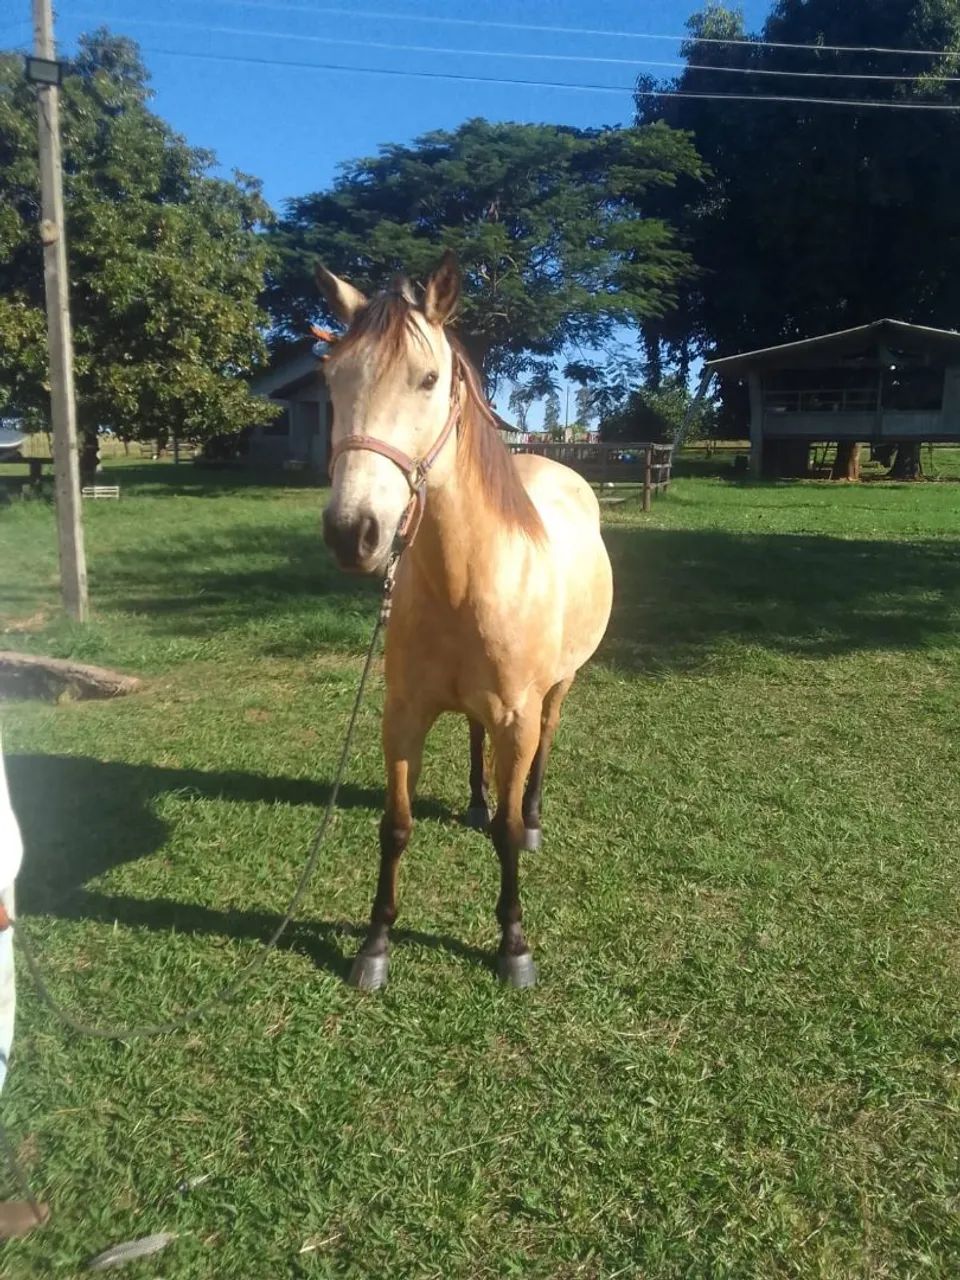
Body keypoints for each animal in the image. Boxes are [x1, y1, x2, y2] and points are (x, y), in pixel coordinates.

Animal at [317, 251, 613, 989]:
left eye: (428, 380)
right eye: (331, 379)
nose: (352, 533)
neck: (467, 580)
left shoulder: (517, 716)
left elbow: (504, 835)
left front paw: (513, 946)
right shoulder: (403, 714)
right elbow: (394, 825)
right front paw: (375, 945)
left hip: (556, 690)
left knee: (544, 748)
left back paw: (531, 815)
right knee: (475, 737)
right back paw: (478, 801)